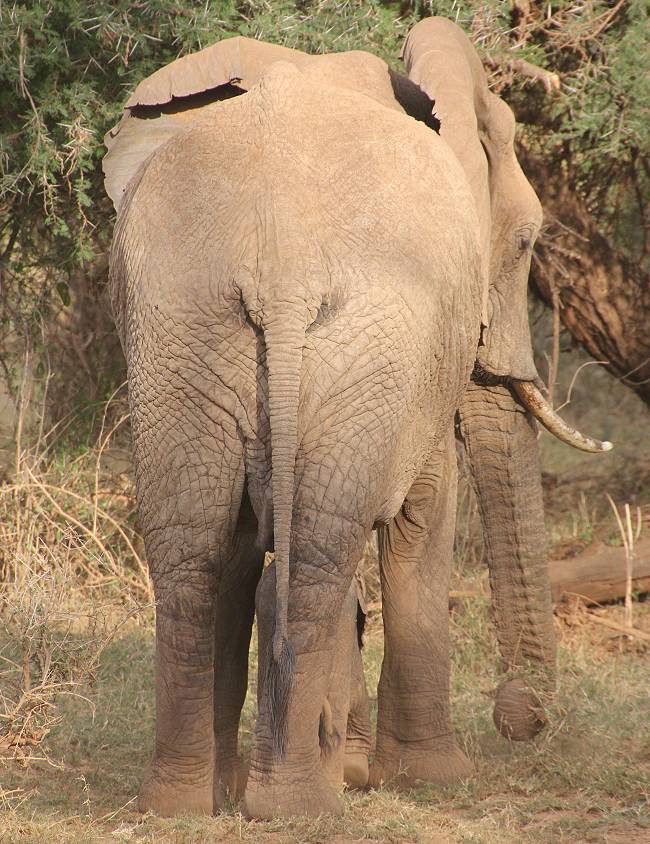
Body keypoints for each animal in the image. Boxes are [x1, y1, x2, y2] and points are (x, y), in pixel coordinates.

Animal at [102, 21, 608, 824]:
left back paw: (183, 802)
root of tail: (279, 258)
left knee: (195, 546)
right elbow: (425, 513)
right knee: (318, 549)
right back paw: (297, 805)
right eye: (527, 242)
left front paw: (353, 768)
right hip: (365, 324)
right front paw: (431, 779)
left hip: (177, 321)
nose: (521, 713)